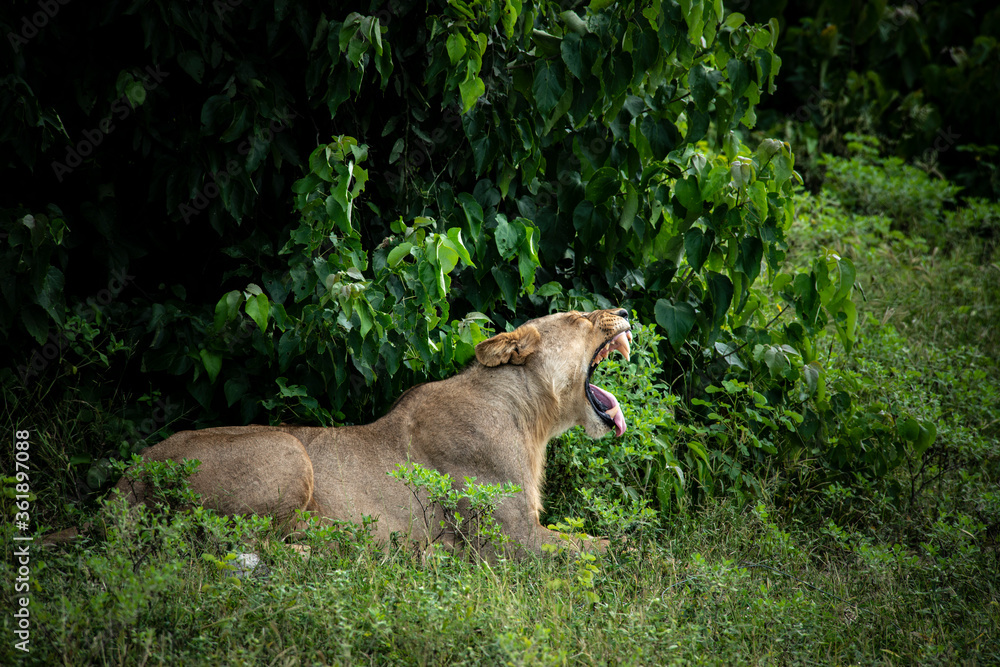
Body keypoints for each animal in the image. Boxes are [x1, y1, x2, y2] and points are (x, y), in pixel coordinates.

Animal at [56, 308, 634, 554]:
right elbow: (604, 548)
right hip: (288, 448)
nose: (625, 310)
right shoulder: (509, 540)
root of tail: (129, 477)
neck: (532, 416)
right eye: (581, 318)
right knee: (218, 546)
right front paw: (636, 549)